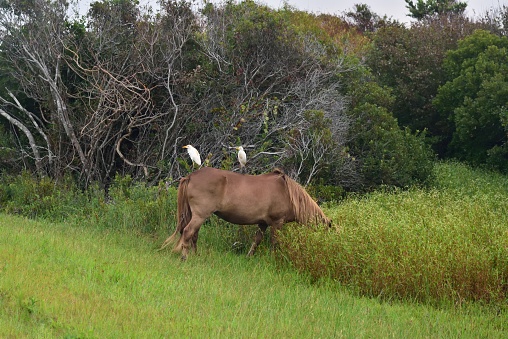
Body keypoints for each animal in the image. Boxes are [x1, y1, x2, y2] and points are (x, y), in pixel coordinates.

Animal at [161, 167, 332, 260]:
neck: (287, 193)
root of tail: (191, 176)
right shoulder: (277, 223)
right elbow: (275, 243)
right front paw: (274, 259)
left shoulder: (263, 224)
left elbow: (257, 241)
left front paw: (249, 256)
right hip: (200, 215)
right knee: (188, 232)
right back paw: (184, 257)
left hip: (195, 215)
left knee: (193, 235)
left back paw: (195, 255)